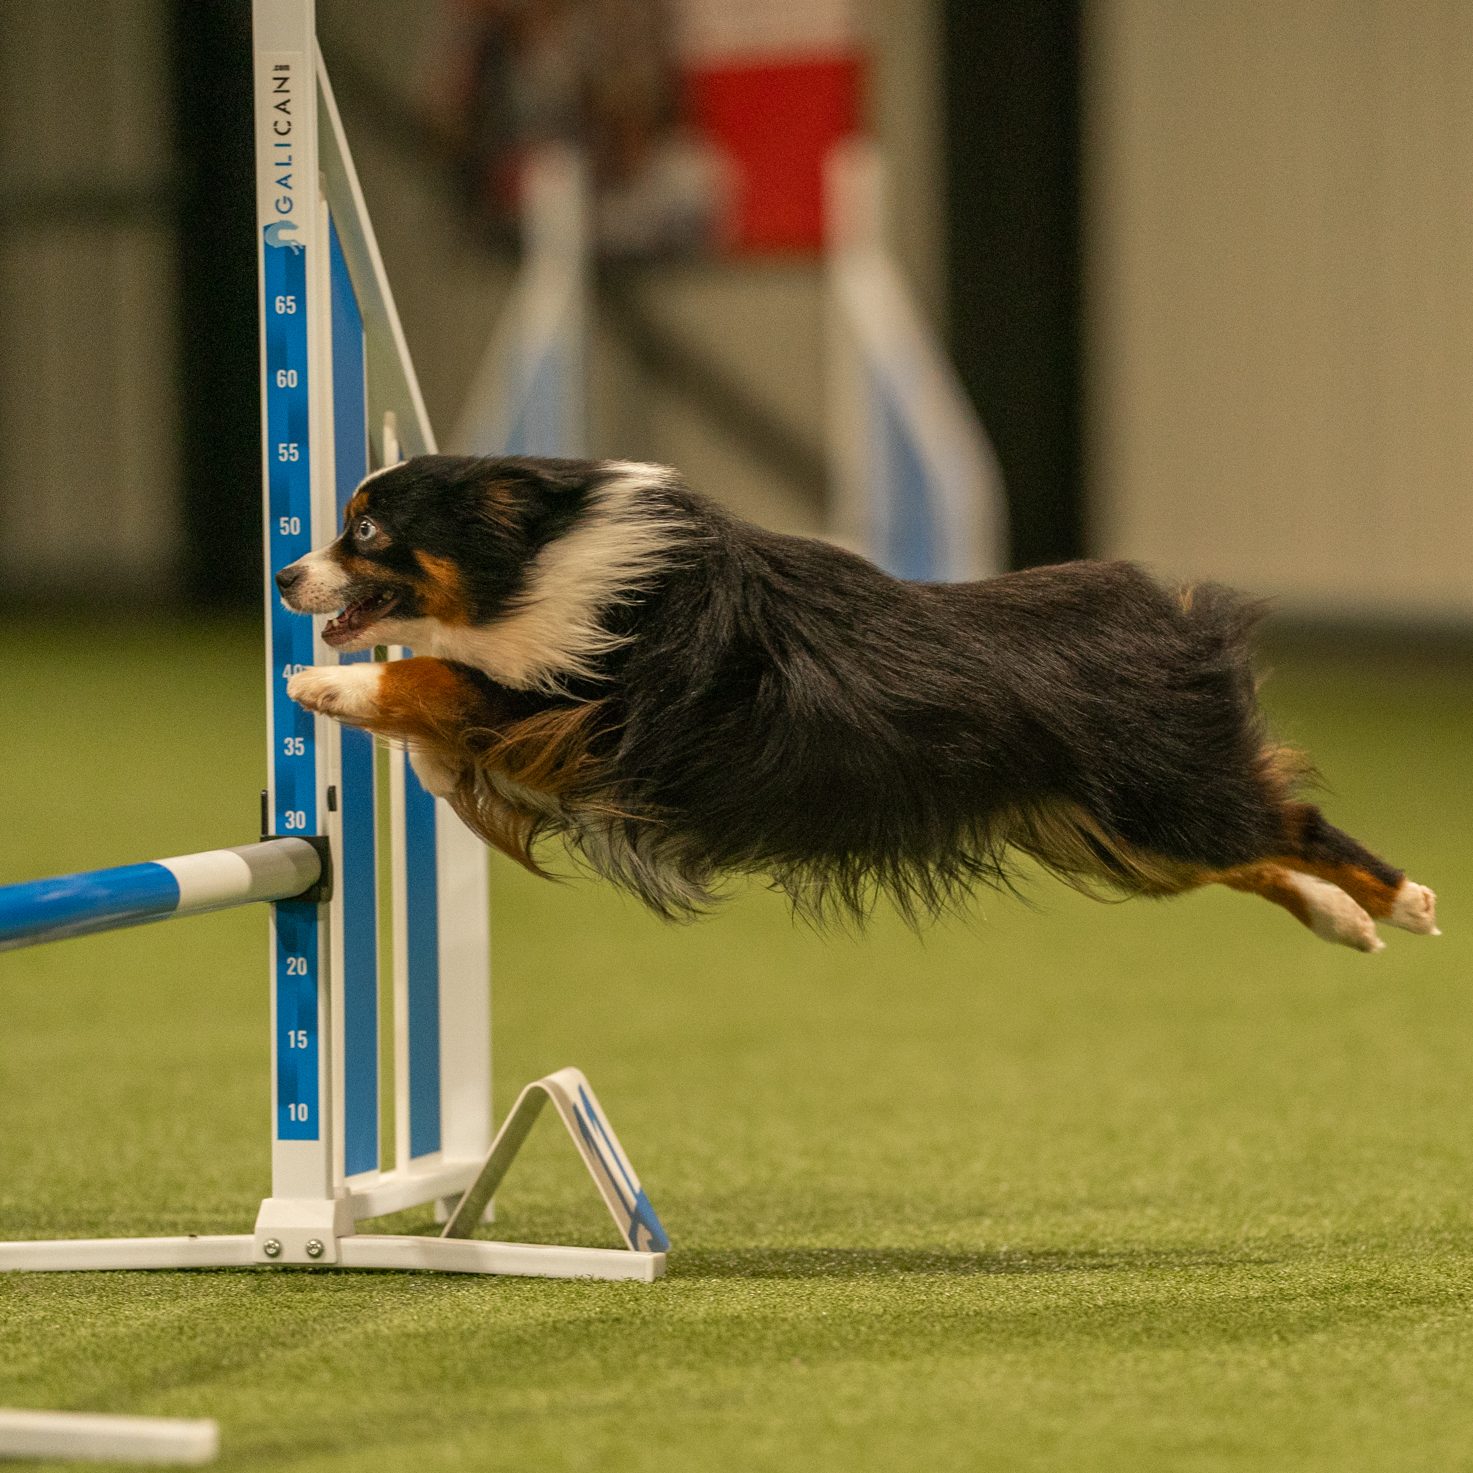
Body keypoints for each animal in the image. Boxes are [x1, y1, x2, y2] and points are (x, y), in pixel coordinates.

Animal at [276, 454, 1438, 952]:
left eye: (366, 532)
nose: (284, 578)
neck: (542, 560)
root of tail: (1167, 614)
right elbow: (443, 721)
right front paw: (379, 716)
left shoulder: (595, 712)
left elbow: (438, 677)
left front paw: (328, 683)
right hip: (1112, 830)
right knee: (1251, 854)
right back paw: (1340, 919)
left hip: (1158, 804)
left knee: (1291, 822)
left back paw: (1401, 899)